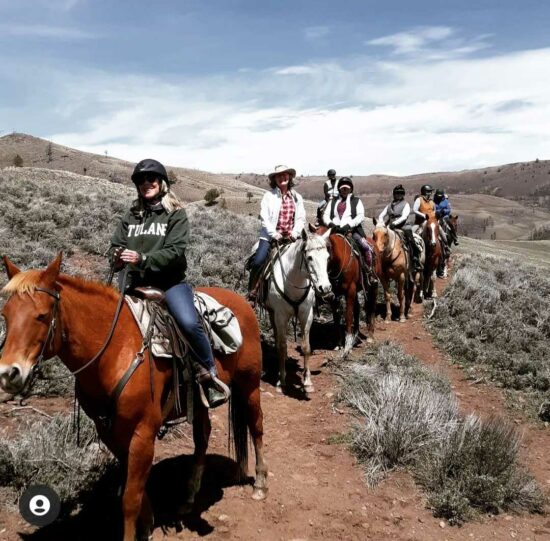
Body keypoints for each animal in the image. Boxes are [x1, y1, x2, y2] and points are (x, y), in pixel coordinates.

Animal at [0, 254, 268, 540]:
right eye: (5, 314)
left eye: (41, 315)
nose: (9, 373)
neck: (113, 351)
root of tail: (242, 301)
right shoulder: (108, 431)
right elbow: (134, 488)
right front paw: (148, 522)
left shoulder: (143, 432)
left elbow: (130, 499)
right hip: (200, 402)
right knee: (202, 438)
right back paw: (187, 498)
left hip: (249, 384)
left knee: (256, 426)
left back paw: (261, 484)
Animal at [266, 227, 332, 392]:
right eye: (309, 257)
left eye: (327, 257)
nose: (325, 288)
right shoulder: (280, 316)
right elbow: (282, 346)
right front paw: (281, 381)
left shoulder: (306, 314)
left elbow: (306, 347)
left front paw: (307, 382)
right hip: (272, 313)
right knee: (278, 339)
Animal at [314, 226, 380, 356]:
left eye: (327, 245)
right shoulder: (333, 294)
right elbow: (336, 318)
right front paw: (339, 344)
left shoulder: (350, 291)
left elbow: (348, 315)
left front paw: (347, 347)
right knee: (358, 309)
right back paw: (355, 335)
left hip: (373, 287)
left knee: (372, 308)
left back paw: (370, 335)